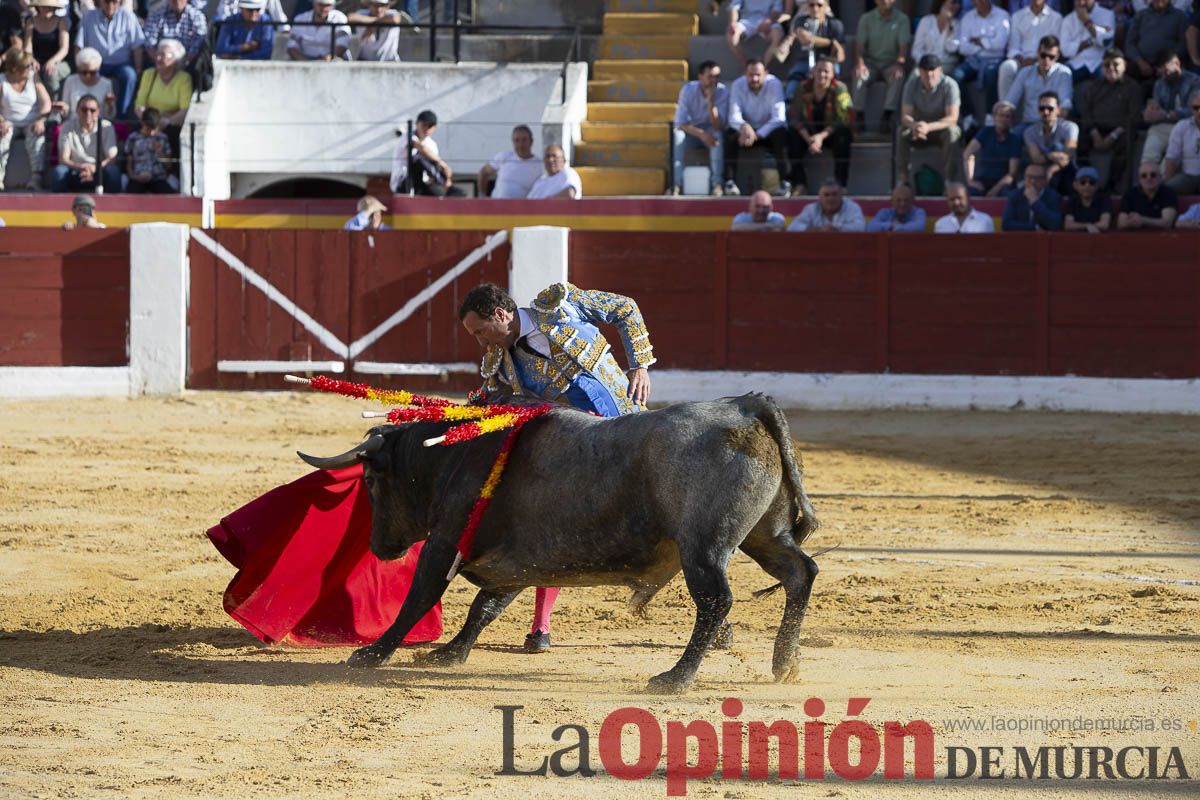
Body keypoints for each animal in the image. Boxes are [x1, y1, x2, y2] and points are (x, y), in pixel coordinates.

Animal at [304, 393, 820, 695]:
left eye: (372, 480)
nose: (380, 548)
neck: (455, 453)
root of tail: (746, 406)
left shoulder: (444, 542)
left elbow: (419, 597)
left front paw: (372, 654)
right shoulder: (514, 561)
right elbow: (485, 606)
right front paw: (448, 653)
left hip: (704, 547)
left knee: (716, 601)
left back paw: (674, 679)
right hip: (765, 534)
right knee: (800, 572)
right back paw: (786, 664)